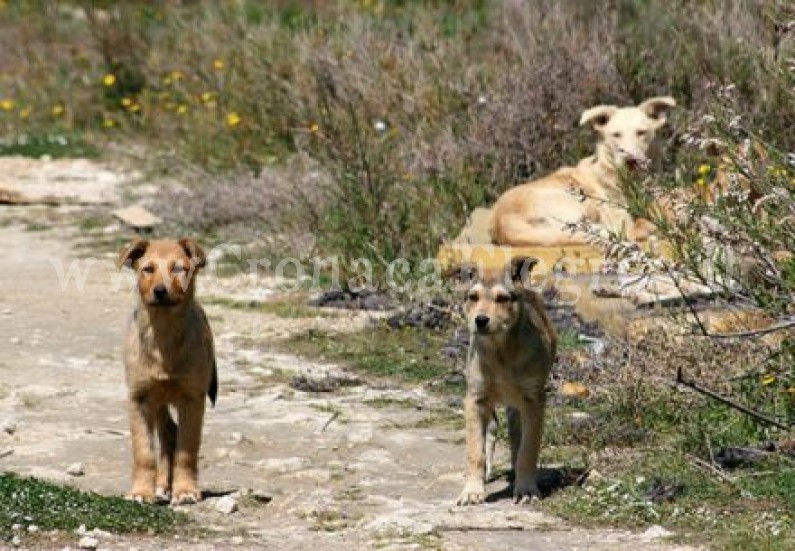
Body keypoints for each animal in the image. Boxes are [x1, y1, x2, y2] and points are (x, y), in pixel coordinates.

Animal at [118, 237, 218, 504]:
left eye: (179, 269)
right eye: (148, 269)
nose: (160, 291)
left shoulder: (192, 398)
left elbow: (187, 451)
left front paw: (185, 490)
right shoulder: (139, 398)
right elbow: (144, 453)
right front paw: (141, 491)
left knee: (172, 434)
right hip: (157, 401)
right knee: (167, 433)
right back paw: (161, 485)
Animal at [458, 258, 556, 504]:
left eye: (502, 298)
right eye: (473, 297)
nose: (480, 320)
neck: (500, 352)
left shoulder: (534, 400)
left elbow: (528, 449)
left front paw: (526, 489)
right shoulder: (474, 399)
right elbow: (475, 451)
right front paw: (472, 490)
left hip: (518, 404)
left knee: (515, 433)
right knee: (492, 428)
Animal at [494, 97, 676, 248]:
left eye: (641, 133)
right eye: (616, 135)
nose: (630, 161)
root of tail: (502, 224)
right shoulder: (619, 217)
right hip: (579, 204)